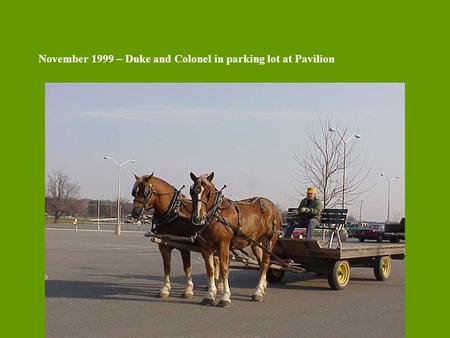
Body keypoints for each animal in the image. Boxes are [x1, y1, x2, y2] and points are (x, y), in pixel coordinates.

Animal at [187, 172, 280, 306]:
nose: (197, 218)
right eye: (192, 191)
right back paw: (261, 288)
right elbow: (210, 270)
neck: (215, 214)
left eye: (208, 192)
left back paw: (258, 292)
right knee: (261, 263)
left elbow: (224, 268)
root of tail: (273, 206)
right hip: (256, 243)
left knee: (266, 263)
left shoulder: (223, 244)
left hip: (269, 241)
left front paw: (225, 297)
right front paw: (209, 295)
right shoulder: (205, 247)